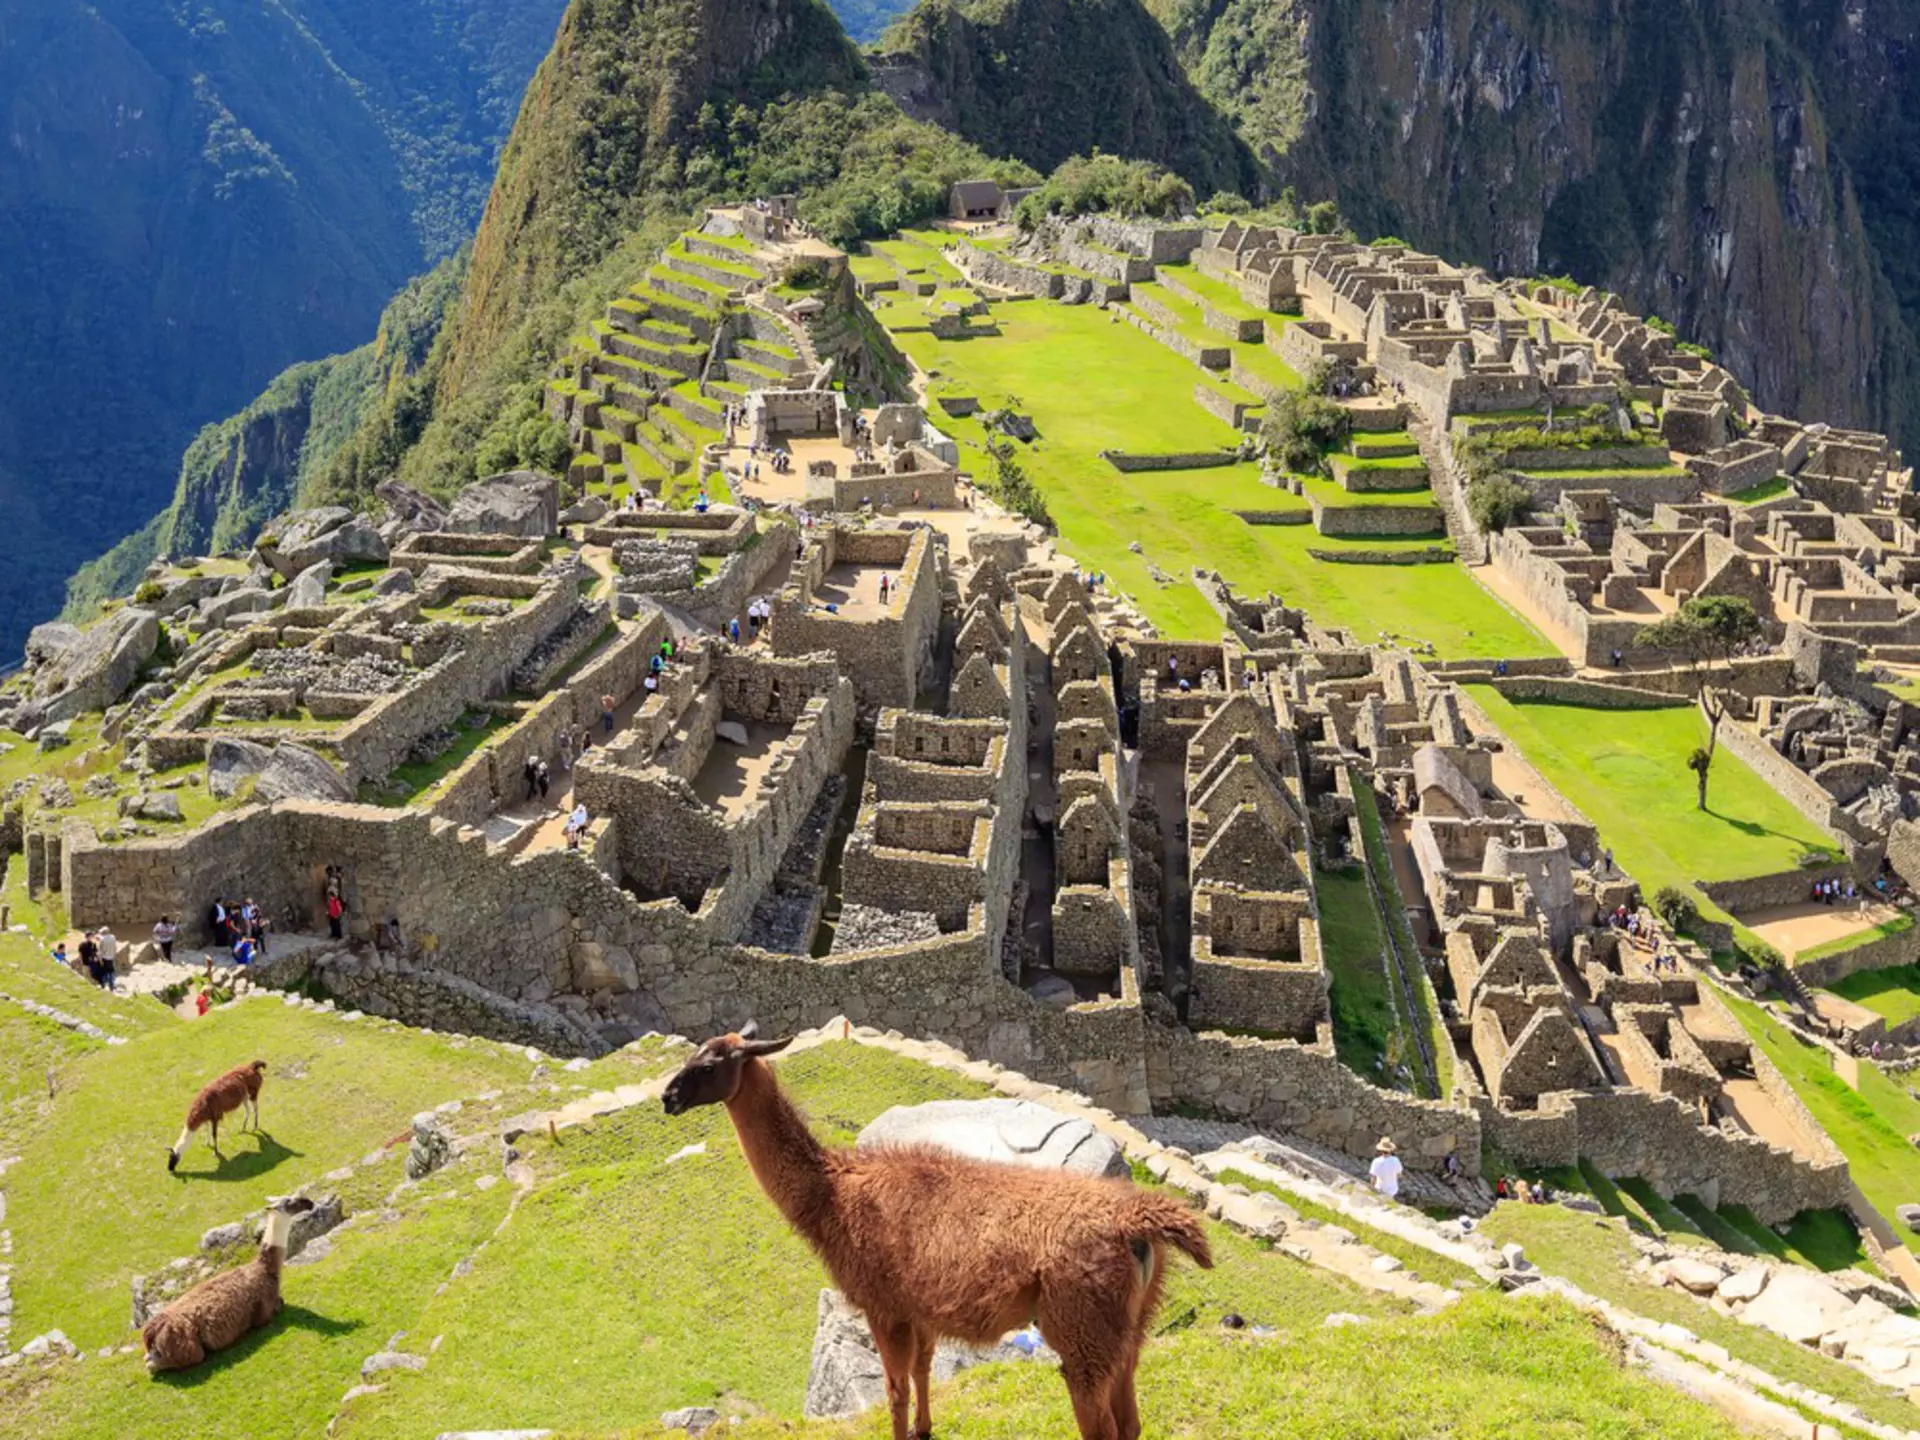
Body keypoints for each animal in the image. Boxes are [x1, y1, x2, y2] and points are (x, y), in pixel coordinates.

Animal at [142, 1195, 315, 1373]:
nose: (309, 1203)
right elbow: (278, 1305)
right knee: (157, 1364)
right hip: (188, 1348)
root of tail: (151, 1331)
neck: (265, 1269)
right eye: (290, 1202)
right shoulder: (264, 1312)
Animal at [663, 1027, 1211, 1440]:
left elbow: (895, 1389)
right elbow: (923, 1372)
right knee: (1131, 1420)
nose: (668, 1097)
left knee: (1103, 1427)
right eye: (691, 1055)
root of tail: (1136, 1221)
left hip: (1082, 1325)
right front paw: (924, 1430)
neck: (834, 1196)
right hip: (1131, 1325)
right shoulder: (919, 1306)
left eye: (709, 1066)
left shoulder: (882, 1304)